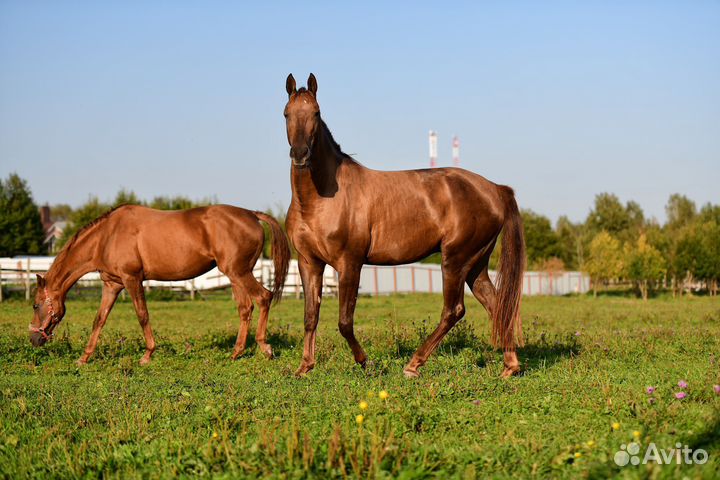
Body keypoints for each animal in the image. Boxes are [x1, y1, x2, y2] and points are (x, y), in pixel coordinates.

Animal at [29, 204, 291, 365]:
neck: (106, 236)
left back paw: (265, 348)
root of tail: (252, 215)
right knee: (246, 308)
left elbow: (142, 315)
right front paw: (84, 358)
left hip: (239, 273)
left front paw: (147, 355)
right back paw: (236, 352)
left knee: (264, 297)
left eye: (35, 305)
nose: (33, 339)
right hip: (235, 276)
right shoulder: (112, 285)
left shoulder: (132, 279)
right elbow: (99, 320)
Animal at [284, 73, 526, 378]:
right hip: (476, 264)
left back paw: (413, 365)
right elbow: (310, 316)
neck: (320, 200)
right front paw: (305, 367)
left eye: (316, 113)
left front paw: (366, 362)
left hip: (455, 260)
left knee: (454, 310)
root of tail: (495, 189)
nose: (300, 154)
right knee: (496, 305)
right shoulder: (309, 262)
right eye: (287, 113)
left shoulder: (349, 263)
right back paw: (510, 366)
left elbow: (344, 321)